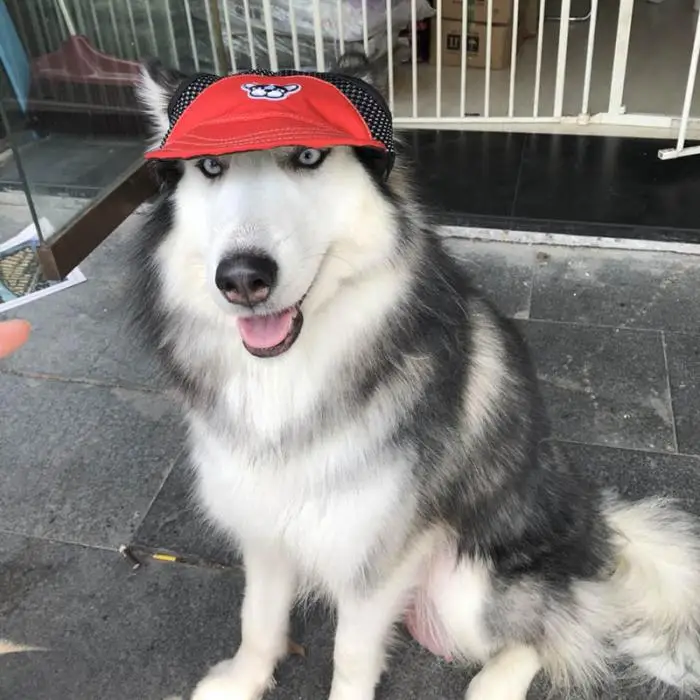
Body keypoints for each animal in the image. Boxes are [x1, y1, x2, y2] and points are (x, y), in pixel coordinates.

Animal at [132, 53, 700, 700]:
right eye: (210, 166)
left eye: (308, 156)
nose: (243, 278)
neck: (285, 379)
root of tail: (594, 521)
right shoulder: (263, 525)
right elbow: (258, 616)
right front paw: (245, 679)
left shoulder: (377, 555)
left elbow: (353, 656)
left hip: (466, 584)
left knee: (547, 636)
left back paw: (493, 686)